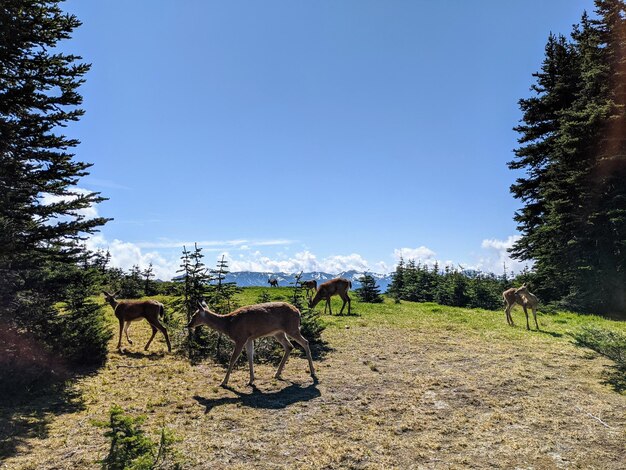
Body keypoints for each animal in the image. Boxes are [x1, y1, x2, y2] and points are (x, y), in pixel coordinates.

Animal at [186, 302, 314, 388]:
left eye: (194, 315)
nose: (188, 325)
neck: (228, 325)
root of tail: (298, 311)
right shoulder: (249, 339)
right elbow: (250, 357)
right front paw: (251, 380)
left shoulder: (241, 337)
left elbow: (233, 359)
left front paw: (224, 382)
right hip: (278, 332)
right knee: (289, 346)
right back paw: (277, 374)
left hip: (292, 328)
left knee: (305, 342)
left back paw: (312, 372)